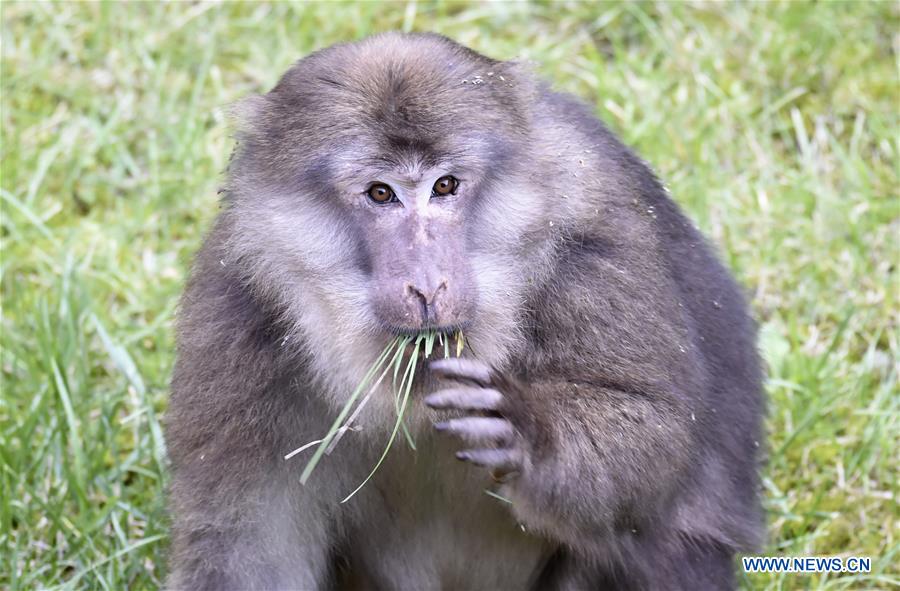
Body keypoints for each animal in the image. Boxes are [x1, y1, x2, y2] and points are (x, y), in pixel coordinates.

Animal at [165, 33, 764, 591]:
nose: (428, 284)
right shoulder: (237, 302)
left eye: (445, 185)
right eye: (380, 193)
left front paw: (525, 432)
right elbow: (243, 546)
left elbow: (655, 434)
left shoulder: (597, 233)